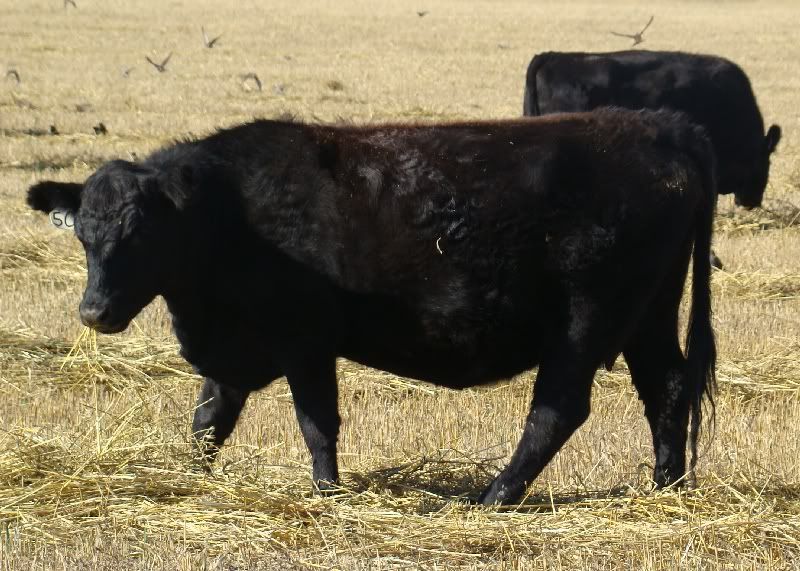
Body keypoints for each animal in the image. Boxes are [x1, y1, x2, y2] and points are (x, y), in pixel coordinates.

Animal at [26, 108, 717, 505]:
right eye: (82, 232)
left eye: (142, 231)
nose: (95, 312)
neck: (228, 211)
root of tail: (659, 128)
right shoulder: (236, 350)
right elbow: (208, 422)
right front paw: (188, 478)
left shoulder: (305, 341)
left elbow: (315, 422)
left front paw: (328, 493)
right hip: (650, 313)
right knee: (667, 385)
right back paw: (667, 485)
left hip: (586, 319)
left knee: (558, 409)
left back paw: (493, 496)